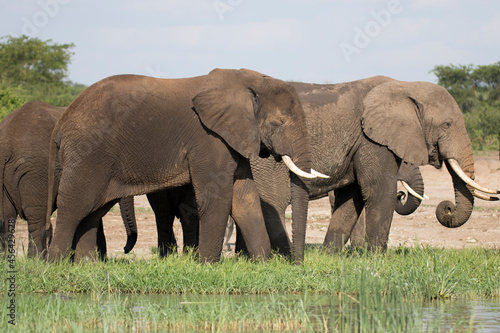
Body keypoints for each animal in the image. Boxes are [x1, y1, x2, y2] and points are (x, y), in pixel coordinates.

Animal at [0, 101, 138, 256]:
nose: (125, 249)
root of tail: (6, 143)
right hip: (36, 172)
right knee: (36, 217)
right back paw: (37, 259)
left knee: (7, 216)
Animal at [46, 68, 316, 264]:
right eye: (280, 121)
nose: (297, 265)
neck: (249, 80)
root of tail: (61, 122)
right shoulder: (209, 138)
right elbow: (215, 198)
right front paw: (208, 266)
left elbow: (246, 199)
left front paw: (263, 265)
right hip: (87, 154)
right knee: (75, 206)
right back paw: (56, 266)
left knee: (93, 211)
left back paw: (87, 267)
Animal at [248, 76, 498, 252]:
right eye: (447, 124)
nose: (447, 208)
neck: (404, 86)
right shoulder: (371, 140)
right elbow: (379, 191)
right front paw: (376, 258)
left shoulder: (358, 144)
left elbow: (352, 197)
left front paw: (329, 256)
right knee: (275, 202)